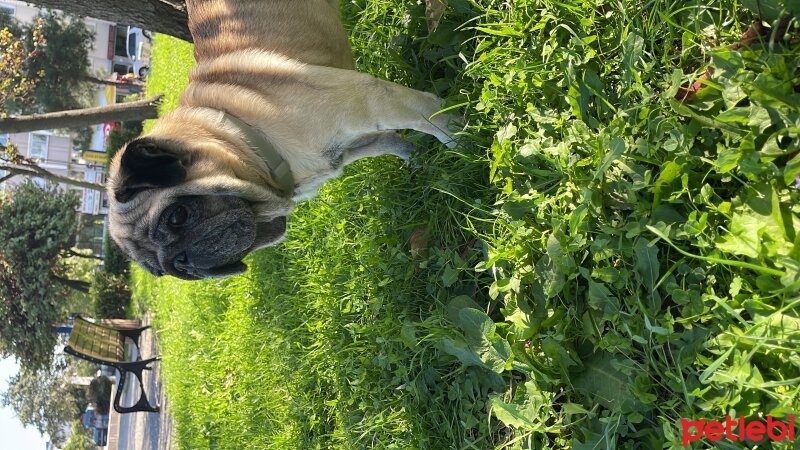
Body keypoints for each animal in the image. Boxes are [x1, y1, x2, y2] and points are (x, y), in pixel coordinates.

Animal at [108, 0, 456, 280]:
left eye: (177, 216)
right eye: (158, 272)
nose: (181, 264)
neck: (243, 128)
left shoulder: (372, 102)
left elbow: (436, 119)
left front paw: (462, 139)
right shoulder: (351, 145)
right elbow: (391, 142)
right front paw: (416, 156)